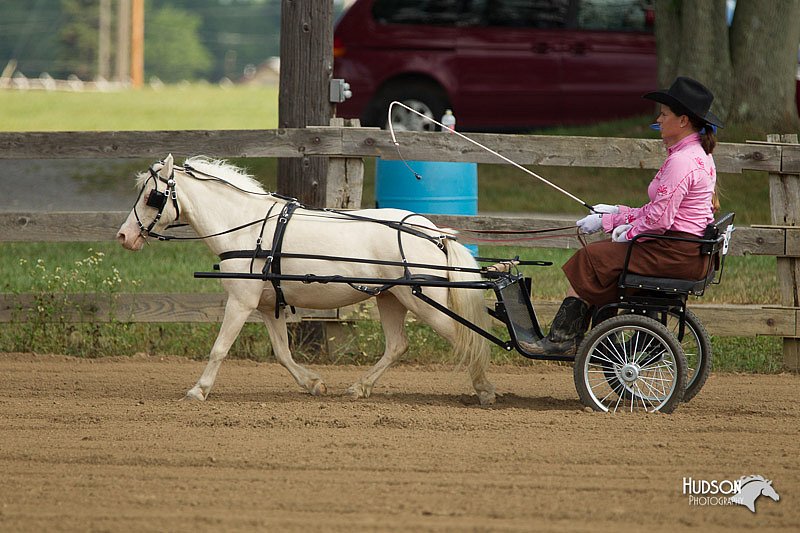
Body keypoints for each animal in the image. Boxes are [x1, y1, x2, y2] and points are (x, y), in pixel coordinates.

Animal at [117, 154, 494, 404]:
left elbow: (219, 348)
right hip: (392, 298)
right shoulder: (268, 306)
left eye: (153, 196)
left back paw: (485, 390)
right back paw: (359, 387)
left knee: (467, 337)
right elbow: (283, 352)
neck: (248, 228)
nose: (124, 236)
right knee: (397, 345)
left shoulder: (241, 301)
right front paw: (313, 384)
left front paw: (198, 390)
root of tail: (434, 232)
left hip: (425, 301)